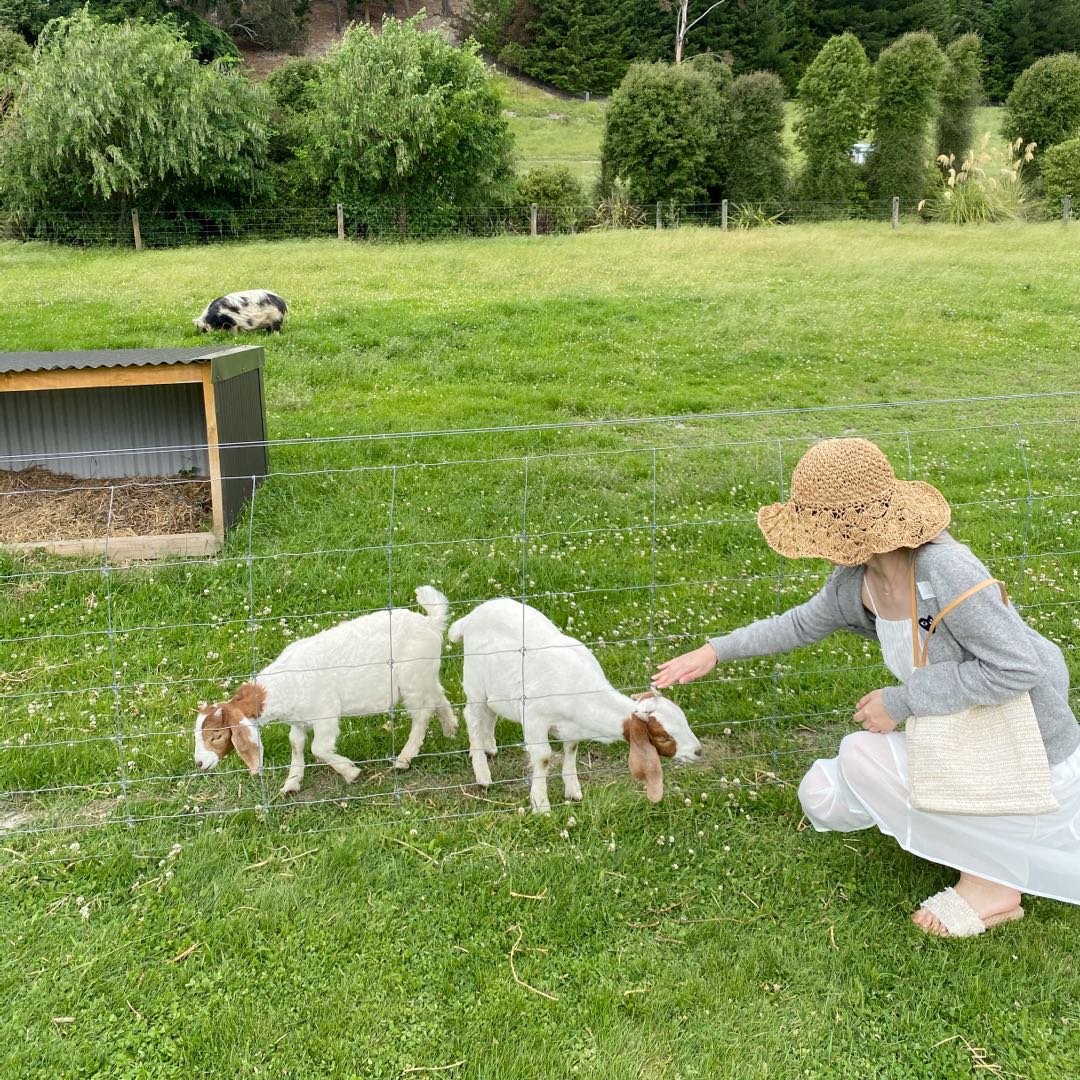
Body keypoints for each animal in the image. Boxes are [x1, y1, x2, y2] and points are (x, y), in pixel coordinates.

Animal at [196, 591, 457, 794]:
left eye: (216, 736)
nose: (198, 763)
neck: (284, 684)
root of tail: (431, 623)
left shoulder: (326, 714)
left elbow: (319, 749)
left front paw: (350, 772)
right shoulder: (298, 721)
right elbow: (296, 744)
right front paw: (292, 783)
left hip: (413, 679)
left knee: (422, 714)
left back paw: (404, 758)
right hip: (425, 675)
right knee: (438, 695)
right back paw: (451, 728)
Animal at [444, 600, 704, 812]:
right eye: (663, 737)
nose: (698, 752)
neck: (581, 692)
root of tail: (471, 617)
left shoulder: (571, 727)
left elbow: (571, 749)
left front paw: (573, 791)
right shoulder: (535, 719)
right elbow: (543, 757)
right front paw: (541, 804)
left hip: (497, 689)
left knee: (490, 714)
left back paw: (489, 747)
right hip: (475, 682)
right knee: (473, 716)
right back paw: (482, 771)